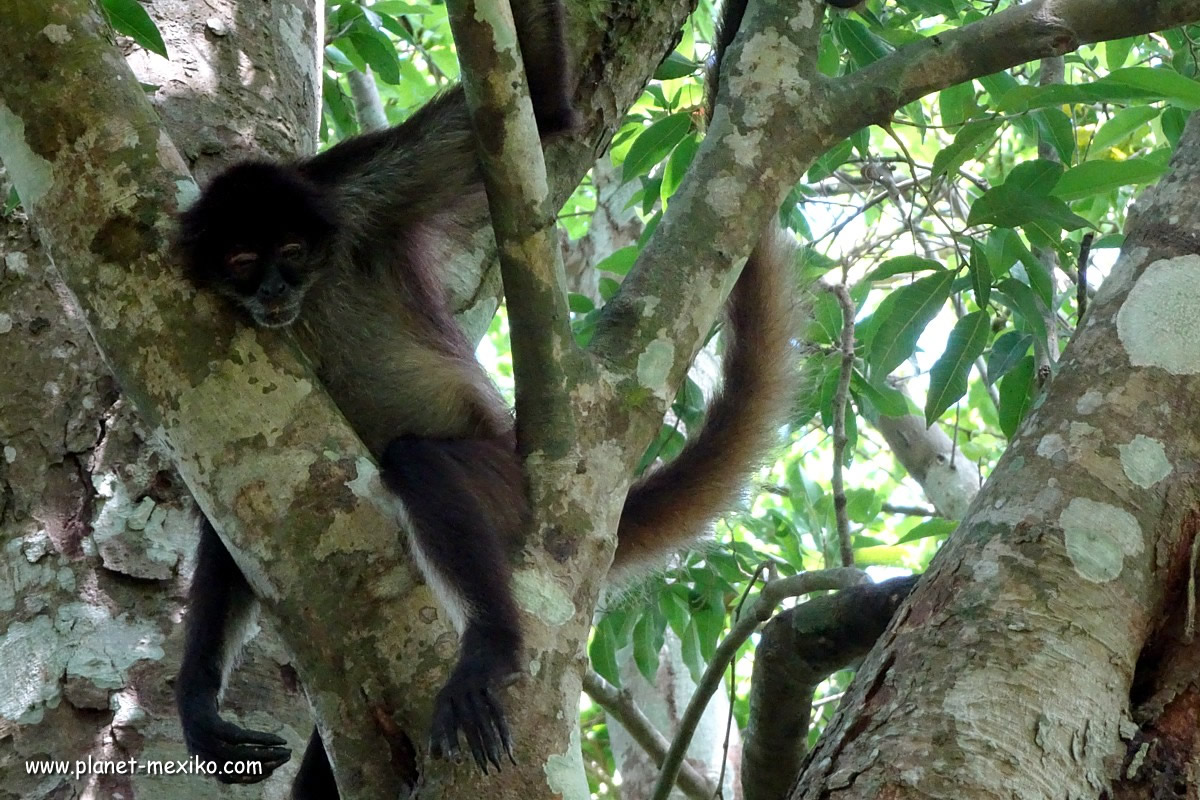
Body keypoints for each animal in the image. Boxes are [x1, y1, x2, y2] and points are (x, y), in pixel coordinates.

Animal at [174, 0, 801, 796]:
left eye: (289, 254)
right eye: (241, 262)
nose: (275, 291)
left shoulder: (351, 189)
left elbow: (544, 104)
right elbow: (225, 521)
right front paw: (196, 698)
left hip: (499, 482)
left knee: (418, 462)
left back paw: (490, 651)